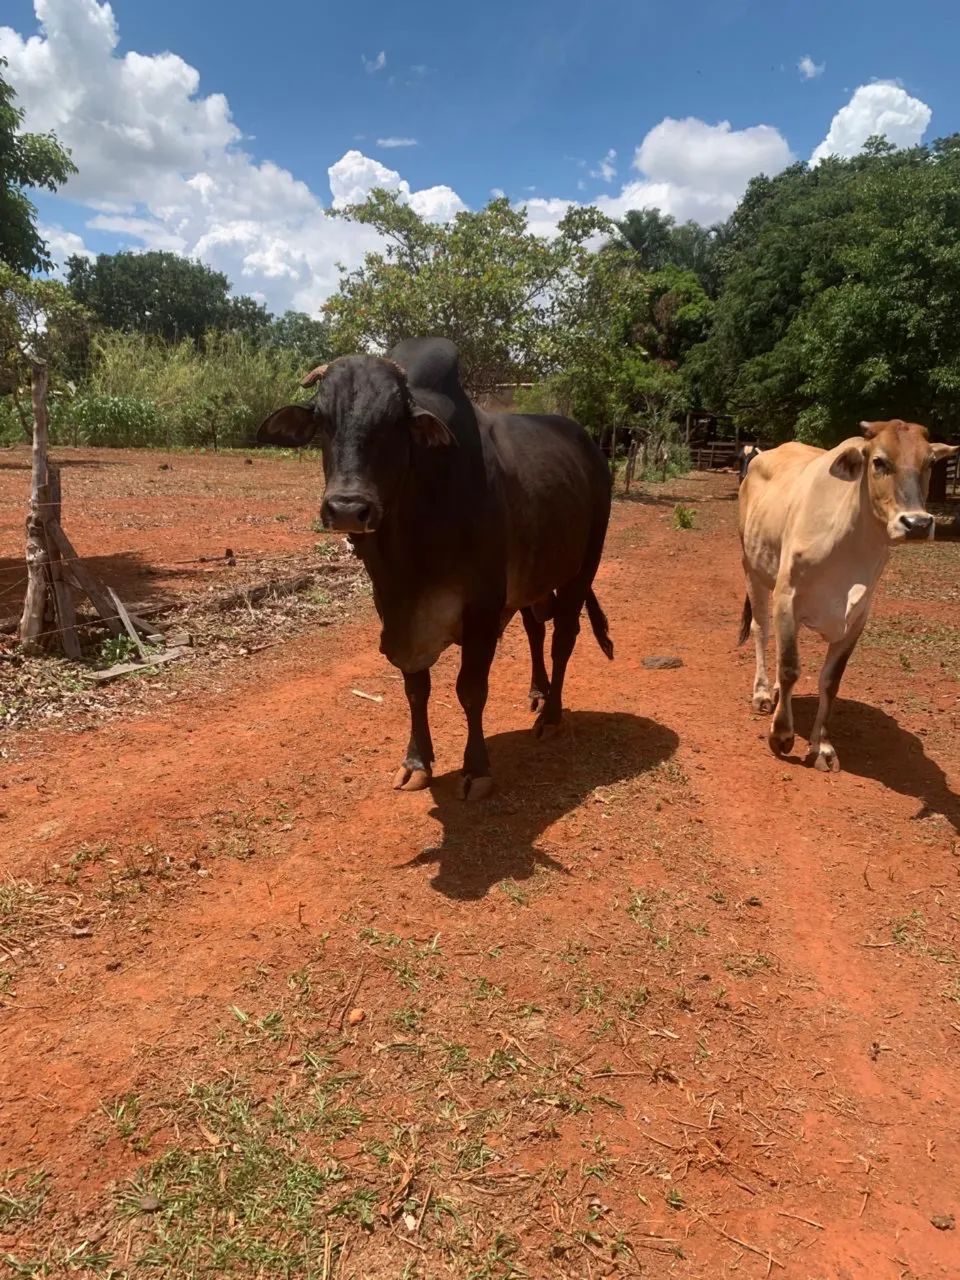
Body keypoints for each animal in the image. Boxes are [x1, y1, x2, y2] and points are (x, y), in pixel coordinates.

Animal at [256, 337, 614, 799]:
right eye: (322, 420)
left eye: (395, 422)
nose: (348, 509)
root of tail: (590, 447)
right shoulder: (396, 612)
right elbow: (415, 689)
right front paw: (416, 762)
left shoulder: (482, 609)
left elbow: (471, 690)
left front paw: (476, 769)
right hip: (534, 580)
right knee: (537, 628)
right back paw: (538, 691)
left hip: (583, 567)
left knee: (563, 639)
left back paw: (550, 716)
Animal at [738, 419, 957, 772]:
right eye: (879, 461)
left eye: (929, 463)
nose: (918, 523)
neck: (851, 545)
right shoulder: (786, 597)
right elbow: (790, 667)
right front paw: (782, 735)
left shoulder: (857, 617)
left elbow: (830, 680)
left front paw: (823, 747)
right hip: (752, 569)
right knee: (761, 629)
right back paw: (762, 694)